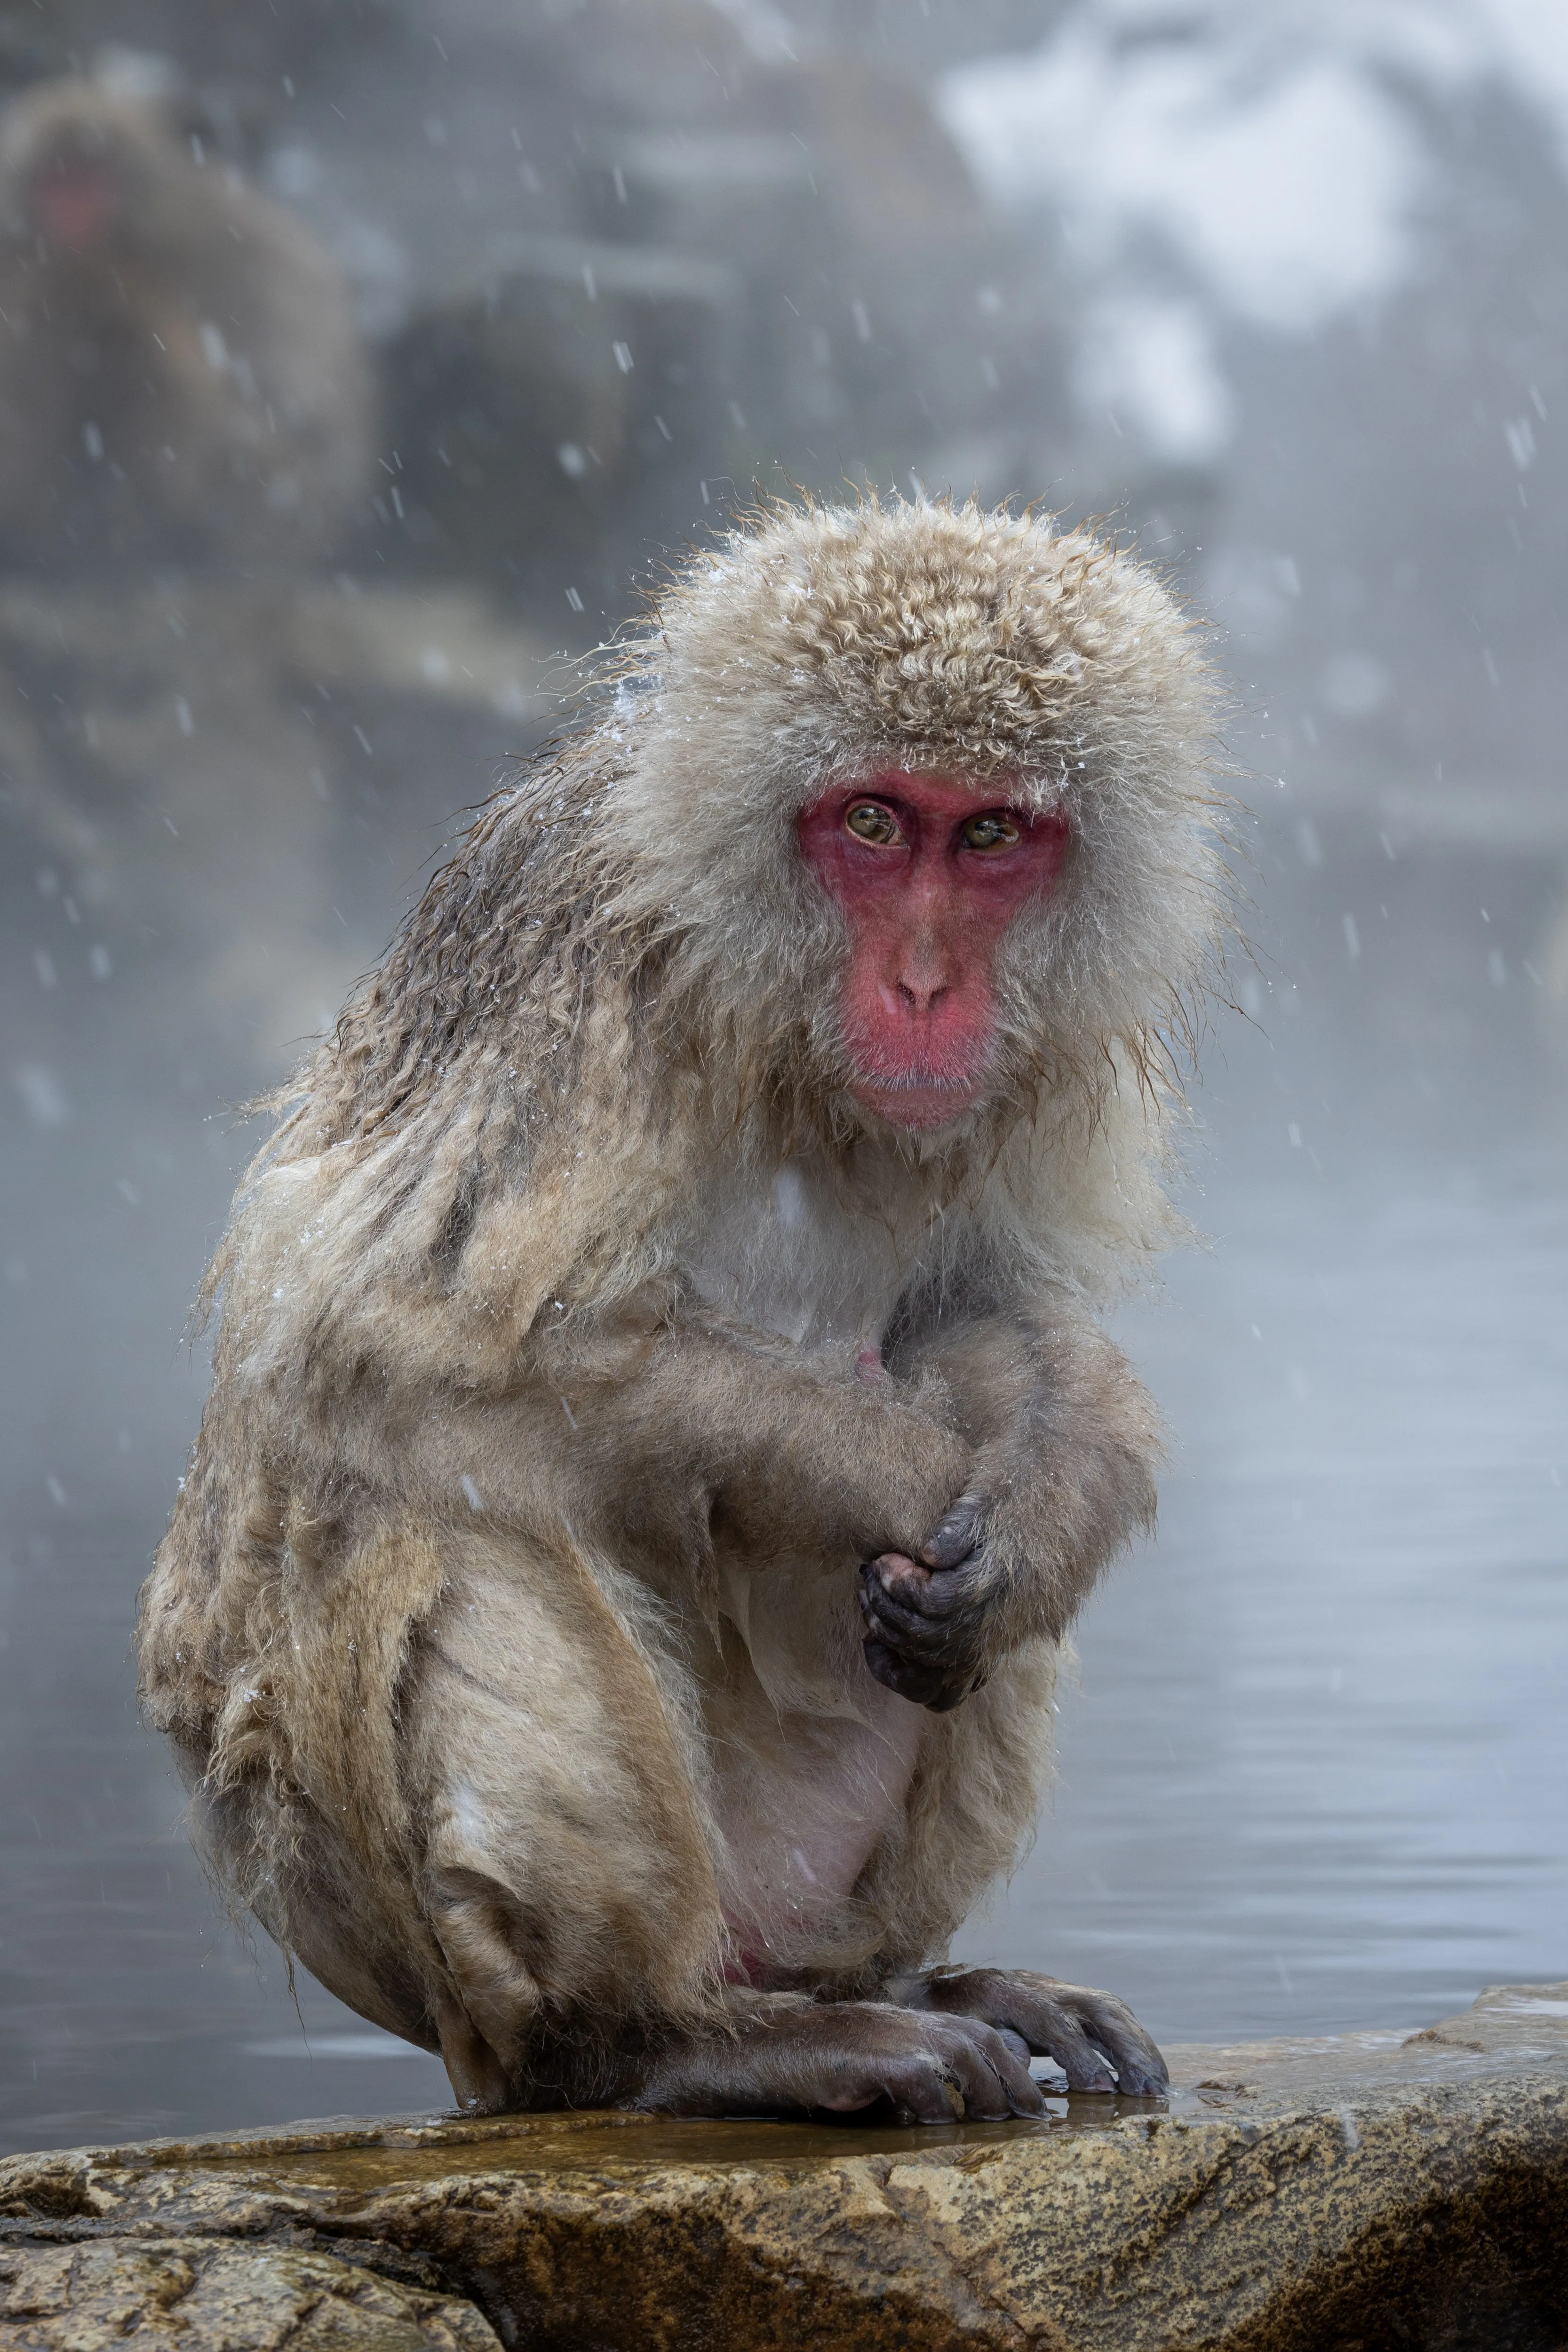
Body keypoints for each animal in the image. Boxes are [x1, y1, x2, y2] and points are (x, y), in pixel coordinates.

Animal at [138, 496, 1229, 2123]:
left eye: (986, 834)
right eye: (869, 823)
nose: (925, 985)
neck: (783, 1023)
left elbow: (984, 1311)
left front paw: (1050, 1504)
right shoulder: (577, 967)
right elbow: (372, 1337)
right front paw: (896, 1473)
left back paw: (909, 1980)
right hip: (387, 1919)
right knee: (435, 1498)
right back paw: (667, 2042)